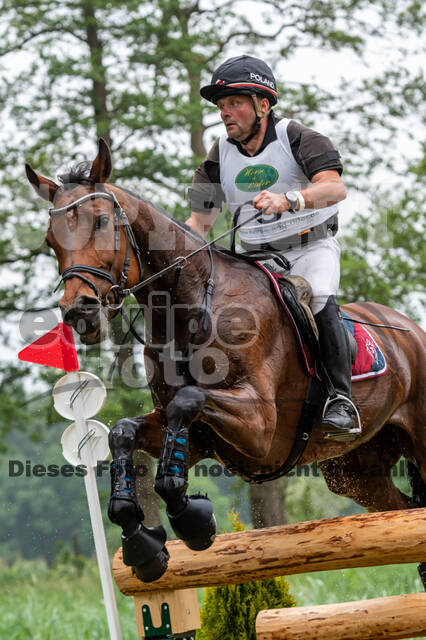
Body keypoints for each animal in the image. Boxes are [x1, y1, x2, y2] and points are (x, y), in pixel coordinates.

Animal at [26, 139, 426, 583]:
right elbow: (123, 432)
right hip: (358, 472)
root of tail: (411, 330)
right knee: (406, 510)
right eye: (50, 239)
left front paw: (191, 520)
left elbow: (188, 402)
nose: (79, 312)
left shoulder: (260, 427)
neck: (192, 307)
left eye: (100, 222)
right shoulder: (198, 437)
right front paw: (142, 542)